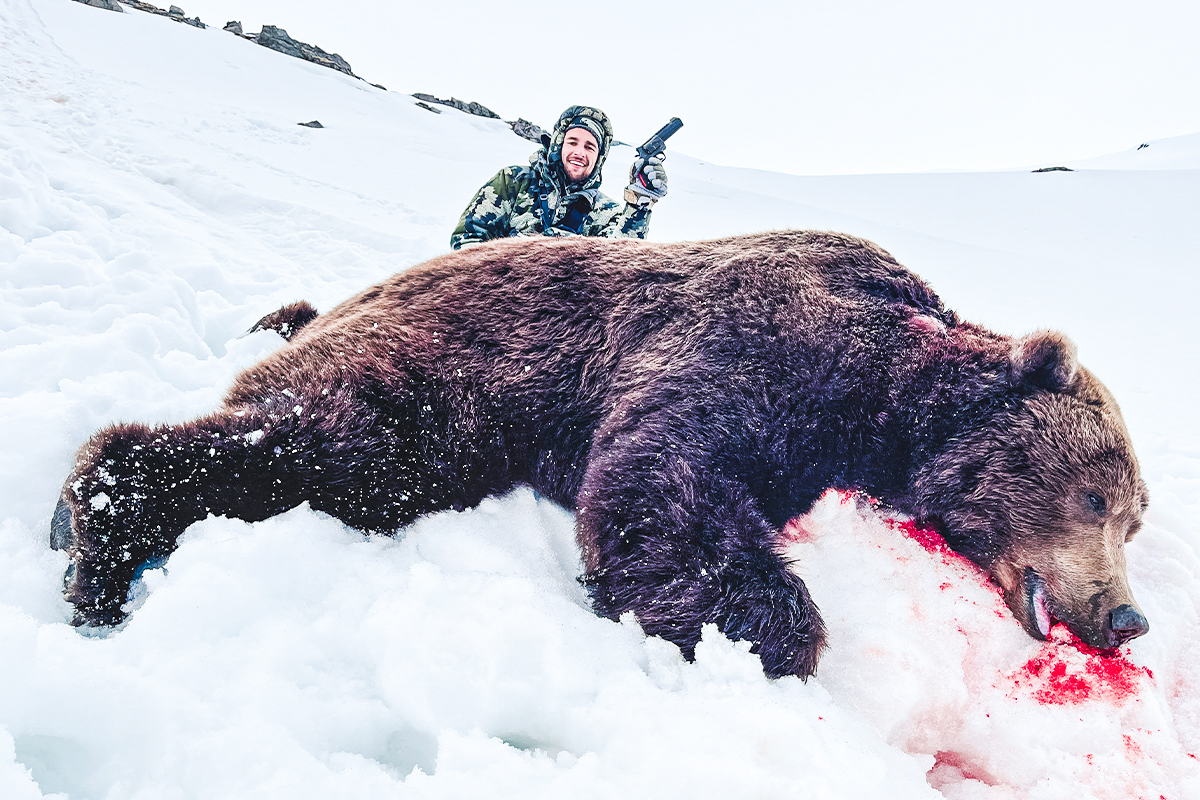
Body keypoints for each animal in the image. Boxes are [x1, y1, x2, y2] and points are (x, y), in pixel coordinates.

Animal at [51, 230, 1147, 676]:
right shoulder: (742, 347)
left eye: (1136, 519)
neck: (879, 393)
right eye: (1099, 498)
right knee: (329, 445)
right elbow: (658, 475)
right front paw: (759, 629)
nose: (1127, 616)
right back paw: (97, 535)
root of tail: (348, 298)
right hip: (440, 375)